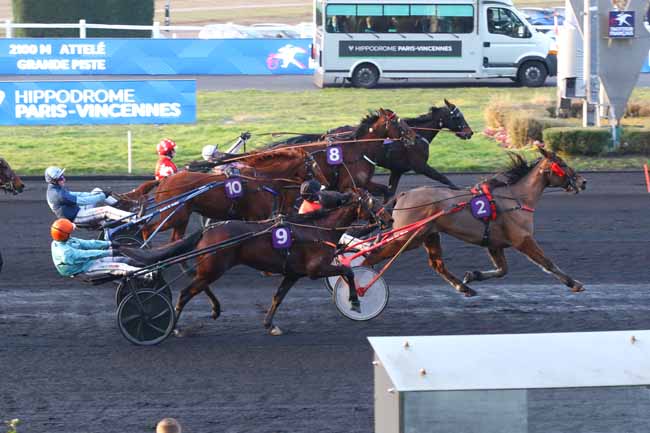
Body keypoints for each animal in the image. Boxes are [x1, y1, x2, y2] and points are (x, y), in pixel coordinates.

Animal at [139, 147, 326, 241]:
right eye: (314, 165)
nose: (325, 183)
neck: (260, 178)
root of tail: (164, 181)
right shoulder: (256, 217)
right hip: (172, 216)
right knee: (147, 229)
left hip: (181, 218)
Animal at [364, 147, 588, 296]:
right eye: (563, 164)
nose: (583, 181)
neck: (516, 198)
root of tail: (403, 195)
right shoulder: (522, 239)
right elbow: (547, 263)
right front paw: (574, 283)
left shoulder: (494, 243)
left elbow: (502, 270)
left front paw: (473, 275)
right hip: (407, 237)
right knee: (372, 256)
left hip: (429, 234)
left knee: (437, 264)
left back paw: (464, 287)